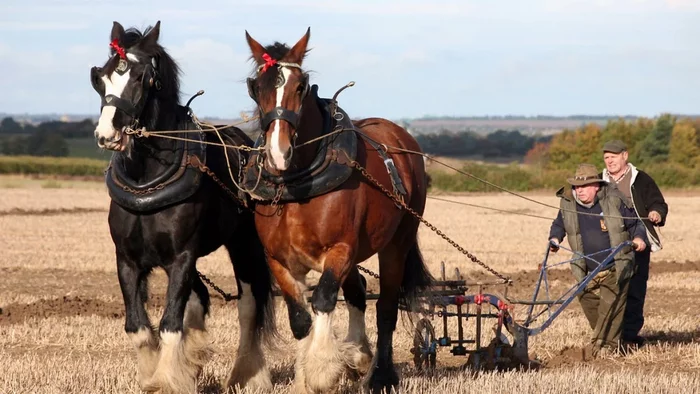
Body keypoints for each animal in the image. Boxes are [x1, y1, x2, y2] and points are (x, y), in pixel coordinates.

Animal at [92, 21, 276, 394]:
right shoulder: (128, 259)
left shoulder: (181, 256)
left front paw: (165, 380)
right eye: (101, 77)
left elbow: (170, 322)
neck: (147, 178)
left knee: (249, 304)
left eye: (140, 78)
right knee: (199, 297)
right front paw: (155, 374)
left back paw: (246, 374)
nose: (107, 134)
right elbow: (138, 326)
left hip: (244, 245)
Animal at [243, 28, 434, 394]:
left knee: (386, 306)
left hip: (396, 242)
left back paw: (381, 375)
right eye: (256, 87)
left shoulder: (340, 249)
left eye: (300, 86)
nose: (278, 152)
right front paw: (303, 378)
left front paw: (322, 370)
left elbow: (322, 299)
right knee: (358, 290)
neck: (298, 183)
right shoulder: (278, 258)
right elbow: (300, 317)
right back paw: (359, 354)